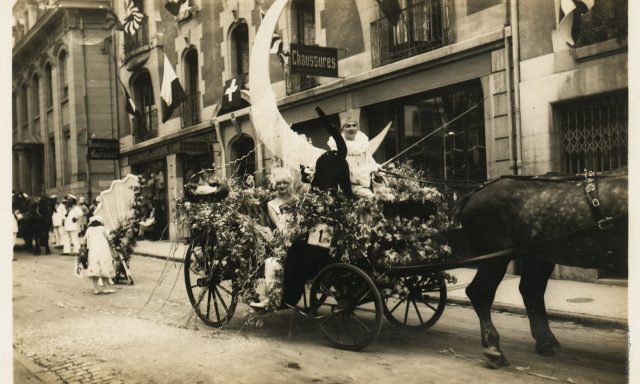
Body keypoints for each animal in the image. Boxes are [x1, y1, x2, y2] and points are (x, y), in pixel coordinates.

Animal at [456, 167, 632, 366]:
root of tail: (474, 194)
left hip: (537, 255)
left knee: (530, 290)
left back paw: (544, 341)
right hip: (495, 258)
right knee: (480, 292)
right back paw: (493, 348)